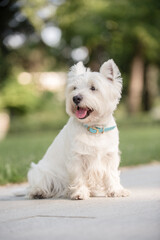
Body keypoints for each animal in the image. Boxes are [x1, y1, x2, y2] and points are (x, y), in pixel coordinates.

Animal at [27, 59, 129, 200]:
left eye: (93, 88)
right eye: (74, 88)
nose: (75, 98)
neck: (94, 128)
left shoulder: (110, 156)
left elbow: (112, 174)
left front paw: (116, 191)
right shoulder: (76, 158)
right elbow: (78, 177)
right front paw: (80, 193)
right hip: (42, 172)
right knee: (37, 184)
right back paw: (39, 192)